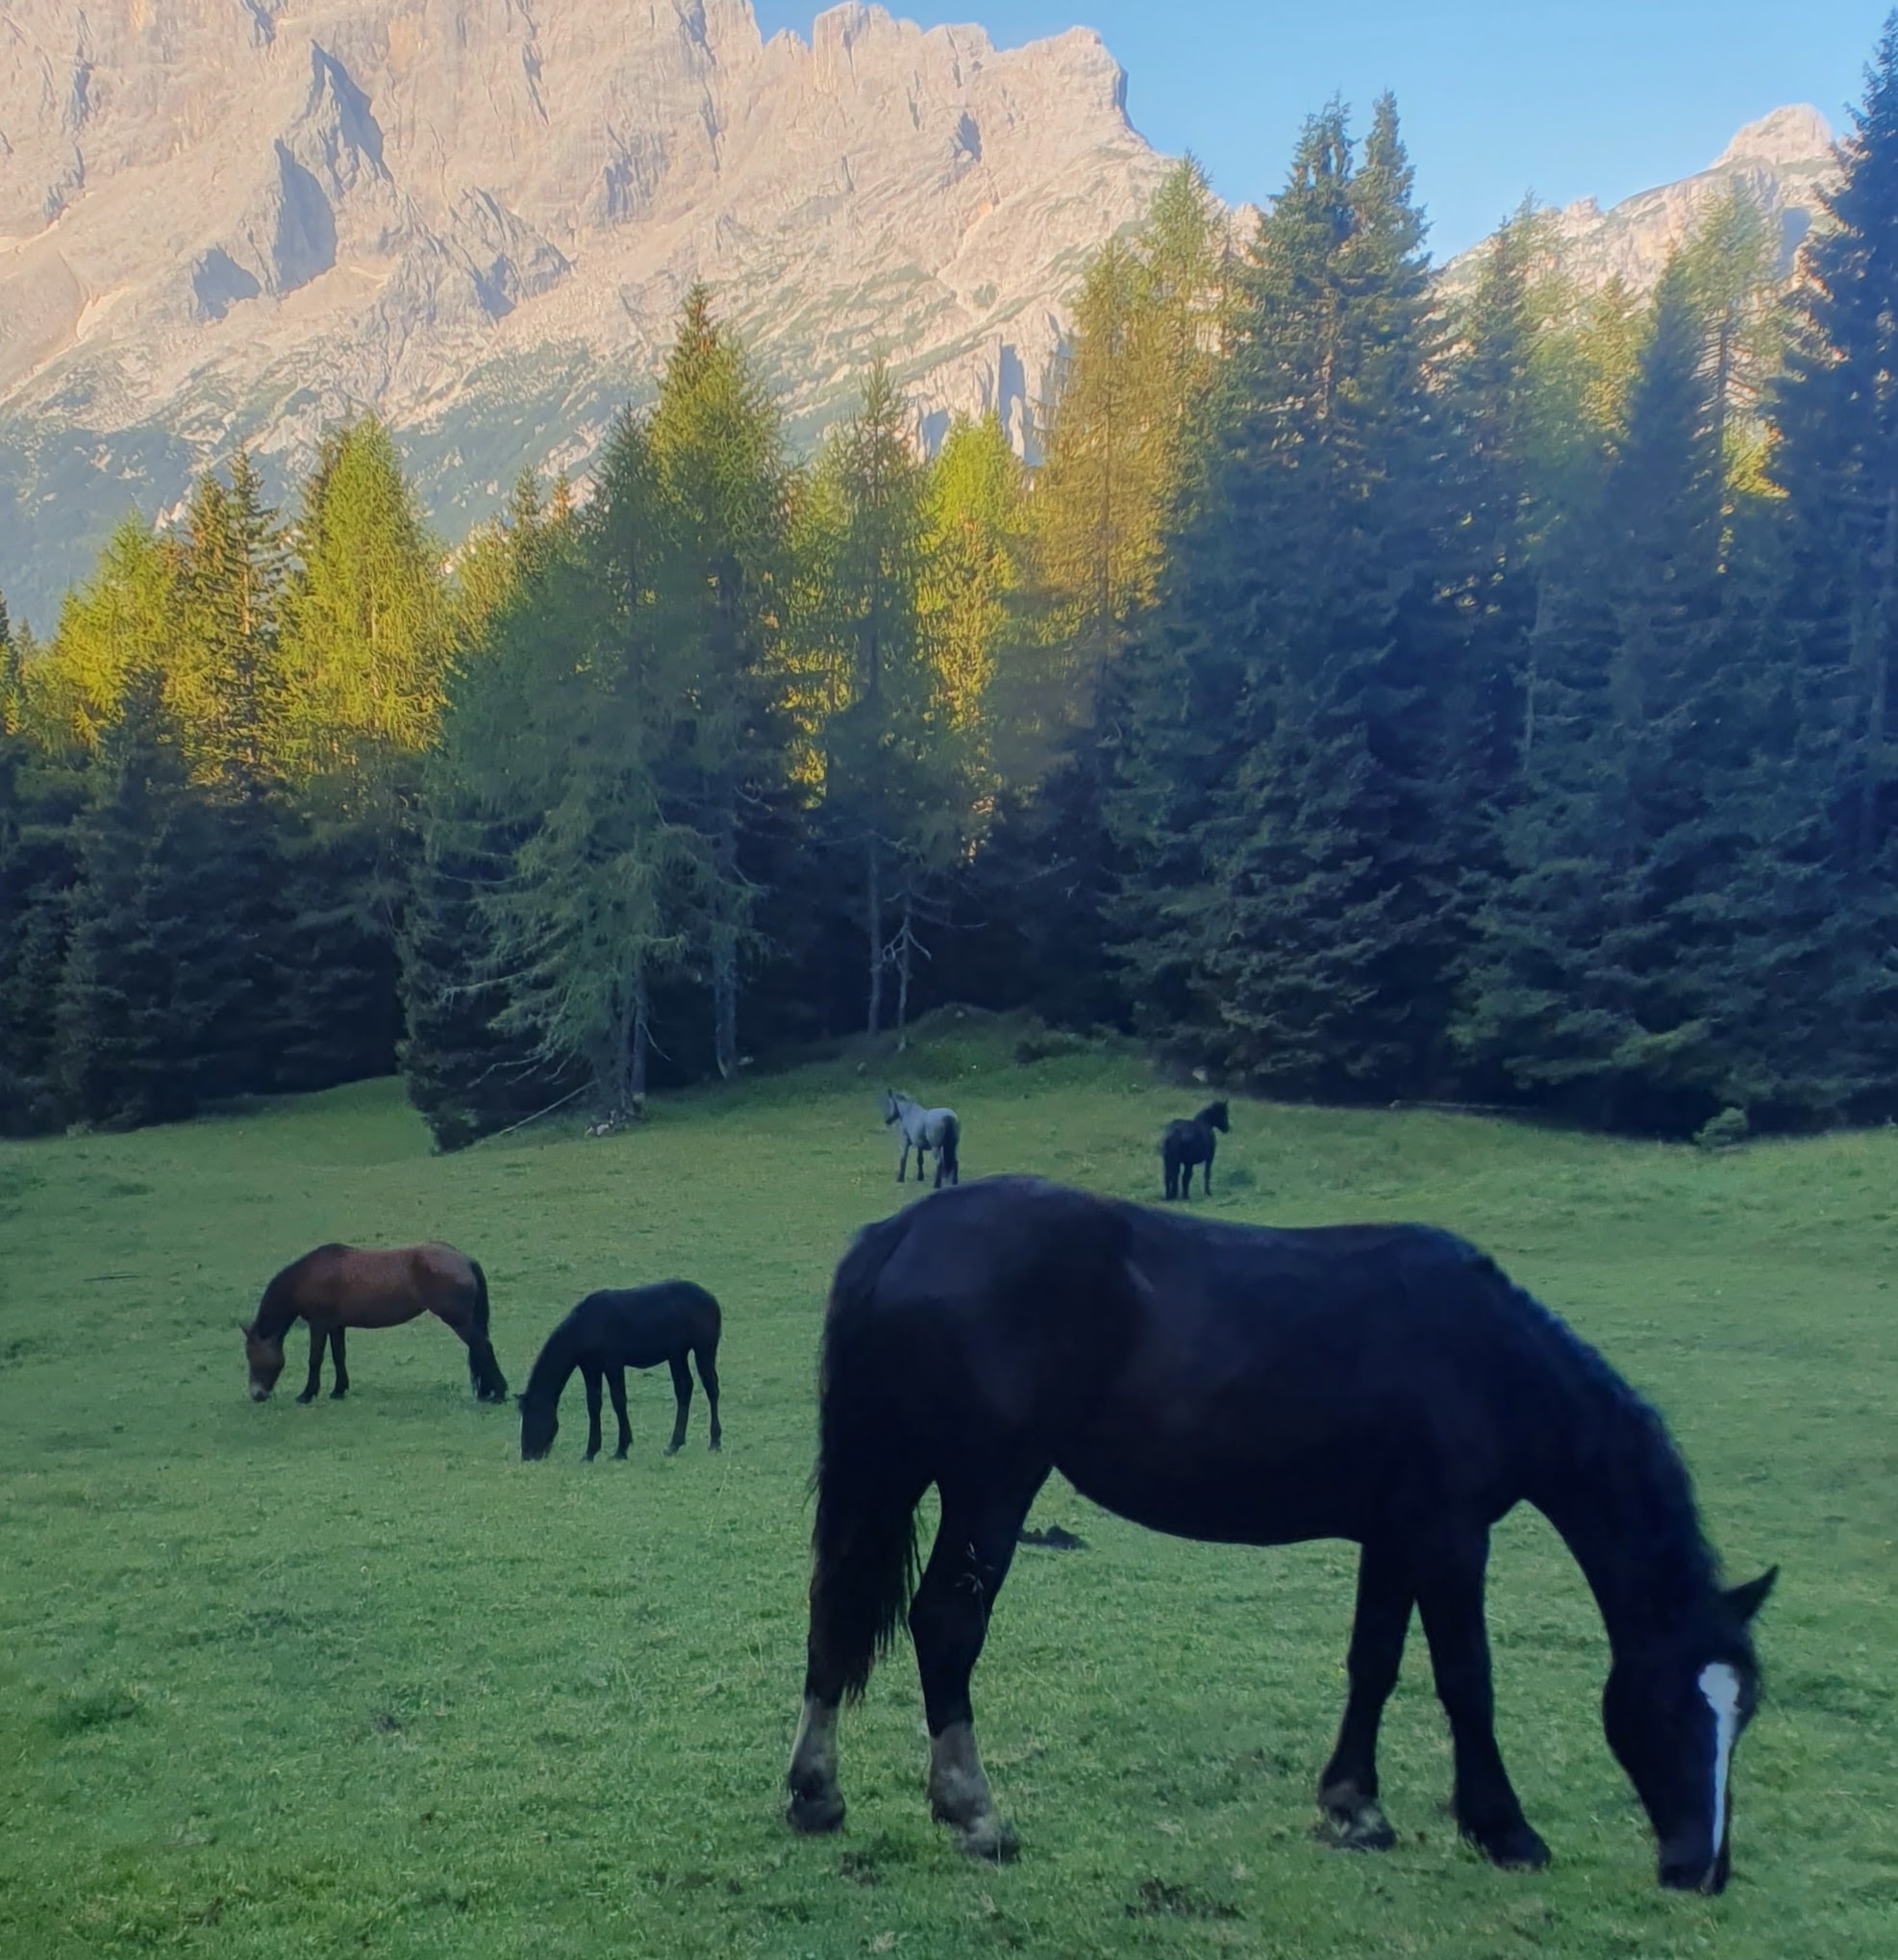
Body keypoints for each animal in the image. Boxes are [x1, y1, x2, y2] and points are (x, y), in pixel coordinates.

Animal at [239, 1243, 507, 1405]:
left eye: (252, 1356)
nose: (257, 1394)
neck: (307, 1276)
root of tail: (465, 1260)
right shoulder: (336, 1326)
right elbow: (339, 1356)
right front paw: (338, 1390)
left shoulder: (319, 1325)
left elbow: (315, 1359)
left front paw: (307, 1394)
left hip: (459, 1321)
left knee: (483, 1347)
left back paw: (499, 1393)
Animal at [518, 1282, 723, 1461]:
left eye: (531, 1417)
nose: (527, 1455)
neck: (586, 1325)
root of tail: (711, 1298)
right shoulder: (590, 1367)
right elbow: (593, 1404)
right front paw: (590, 1453)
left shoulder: (613, 1364)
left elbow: (618, 1401)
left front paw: (621, 1450)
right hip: (677, 1354)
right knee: (684, 1389)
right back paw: (673, 1445)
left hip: (704, 1349)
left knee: (711, 1389)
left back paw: (715, 1442)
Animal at [784, 1177, 1776, 1893]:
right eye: (1675, 1707)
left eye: (1747, 1710)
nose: (1703, 1871)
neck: (1488, 1359)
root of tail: (903, 1231)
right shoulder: (1450, 1536)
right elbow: (1467, 1679)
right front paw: (1504, 1829)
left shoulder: (1395, 1536)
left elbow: (1374, 1661)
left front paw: (1355, 1808)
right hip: (989, 1482)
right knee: (947, 1624)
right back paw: (973, 1813)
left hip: (893, 1470)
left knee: (833, 1612)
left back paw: (816, 1795)